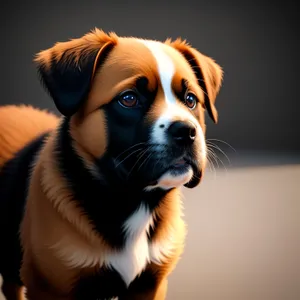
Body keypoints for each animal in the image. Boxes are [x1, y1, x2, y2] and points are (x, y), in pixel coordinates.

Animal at [0, 28, 223, 300]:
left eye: (191, 100)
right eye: (128, 99)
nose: (186, 131)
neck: (134, 200)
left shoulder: (150, 285)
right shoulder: (51, 287)